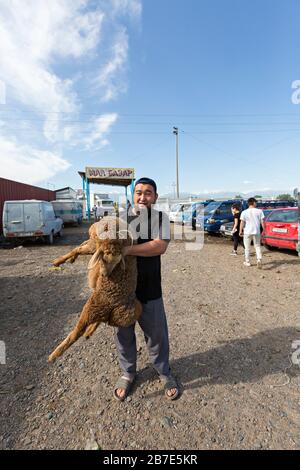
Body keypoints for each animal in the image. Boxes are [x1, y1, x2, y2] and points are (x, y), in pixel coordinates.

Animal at [48, 217, 142, 364]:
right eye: (104, 259)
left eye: (116, 262)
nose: (104, 275)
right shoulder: (94, 244)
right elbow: (80, 246)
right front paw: (69, 259)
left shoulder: (95, 245)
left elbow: (78, 248)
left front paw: (59, 261)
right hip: (100, 310)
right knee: (99, 322)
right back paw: (88, 333)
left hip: (93, 307)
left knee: (76, 332)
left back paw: (54, 355)